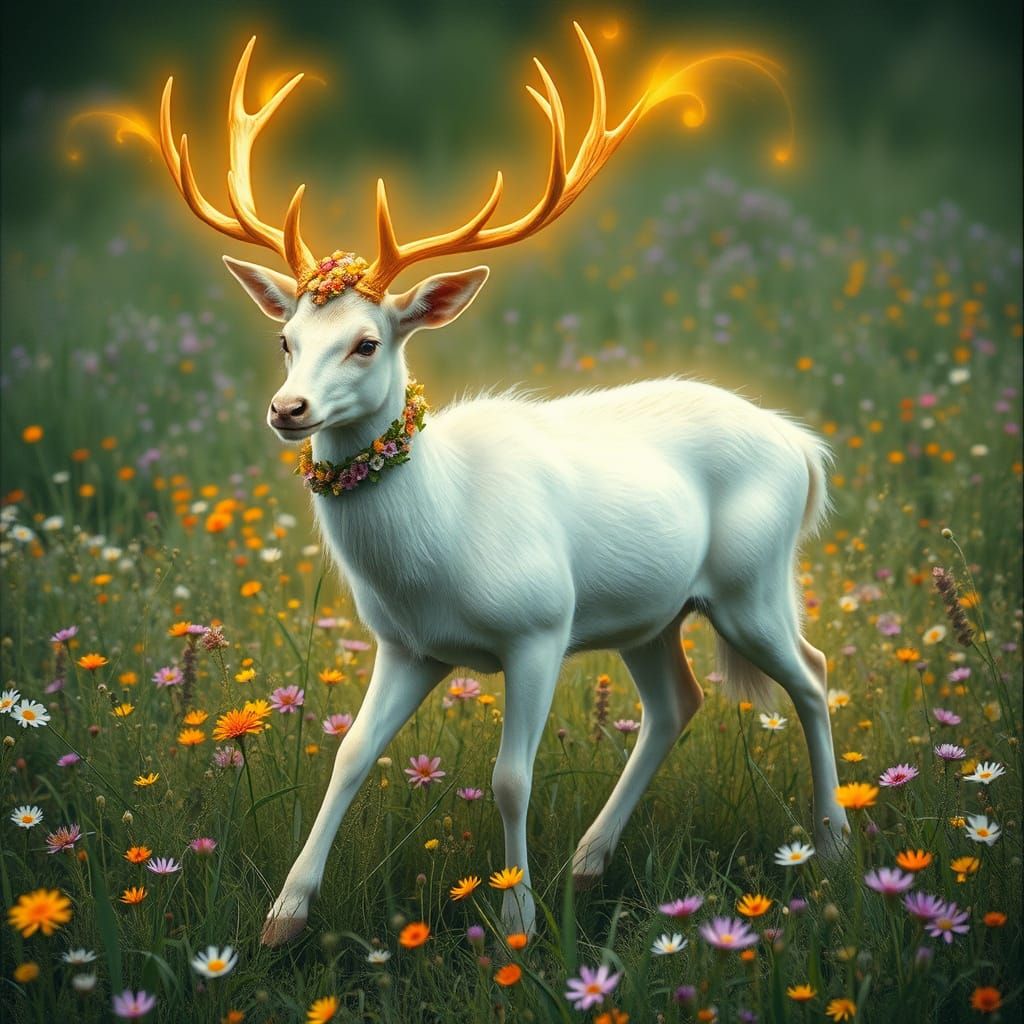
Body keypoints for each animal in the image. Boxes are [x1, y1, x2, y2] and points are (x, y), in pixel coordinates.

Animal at [149, 23, 851, 945]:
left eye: (367, 342)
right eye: (286, 338)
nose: (287, 409)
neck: (438, 543)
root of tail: (802, 447)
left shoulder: (539, 627)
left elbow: (511, 777)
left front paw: (517, 916)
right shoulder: (406, 645)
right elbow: (348, 755)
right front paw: (285, 915)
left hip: (751, 582)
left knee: (811, 673)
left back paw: (833, 844)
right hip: (651, 611)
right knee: (678, 703)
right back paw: (591, 859)